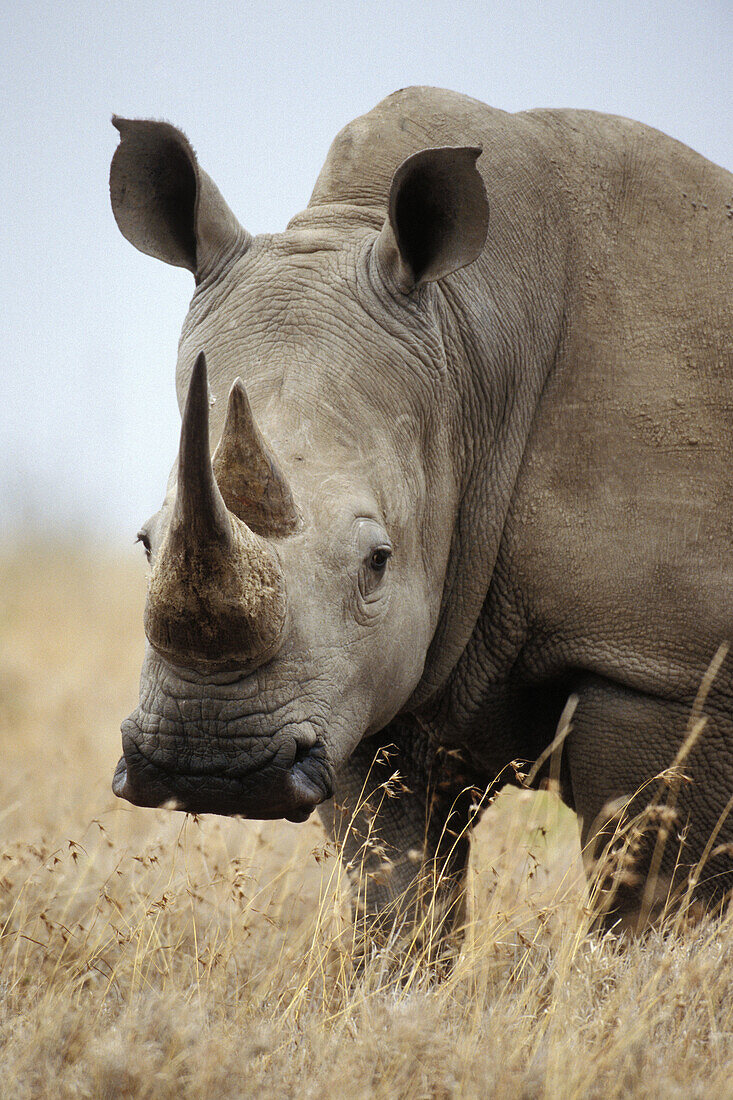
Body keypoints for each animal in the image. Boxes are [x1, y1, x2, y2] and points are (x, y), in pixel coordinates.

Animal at [110, 88, 730, 937]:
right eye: (145, 543)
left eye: (378, 561)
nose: (208, 768)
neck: (468, 341)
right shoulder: (362, 679)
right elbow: (397, 893)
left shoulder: (662, 662)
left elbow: (651, 899)